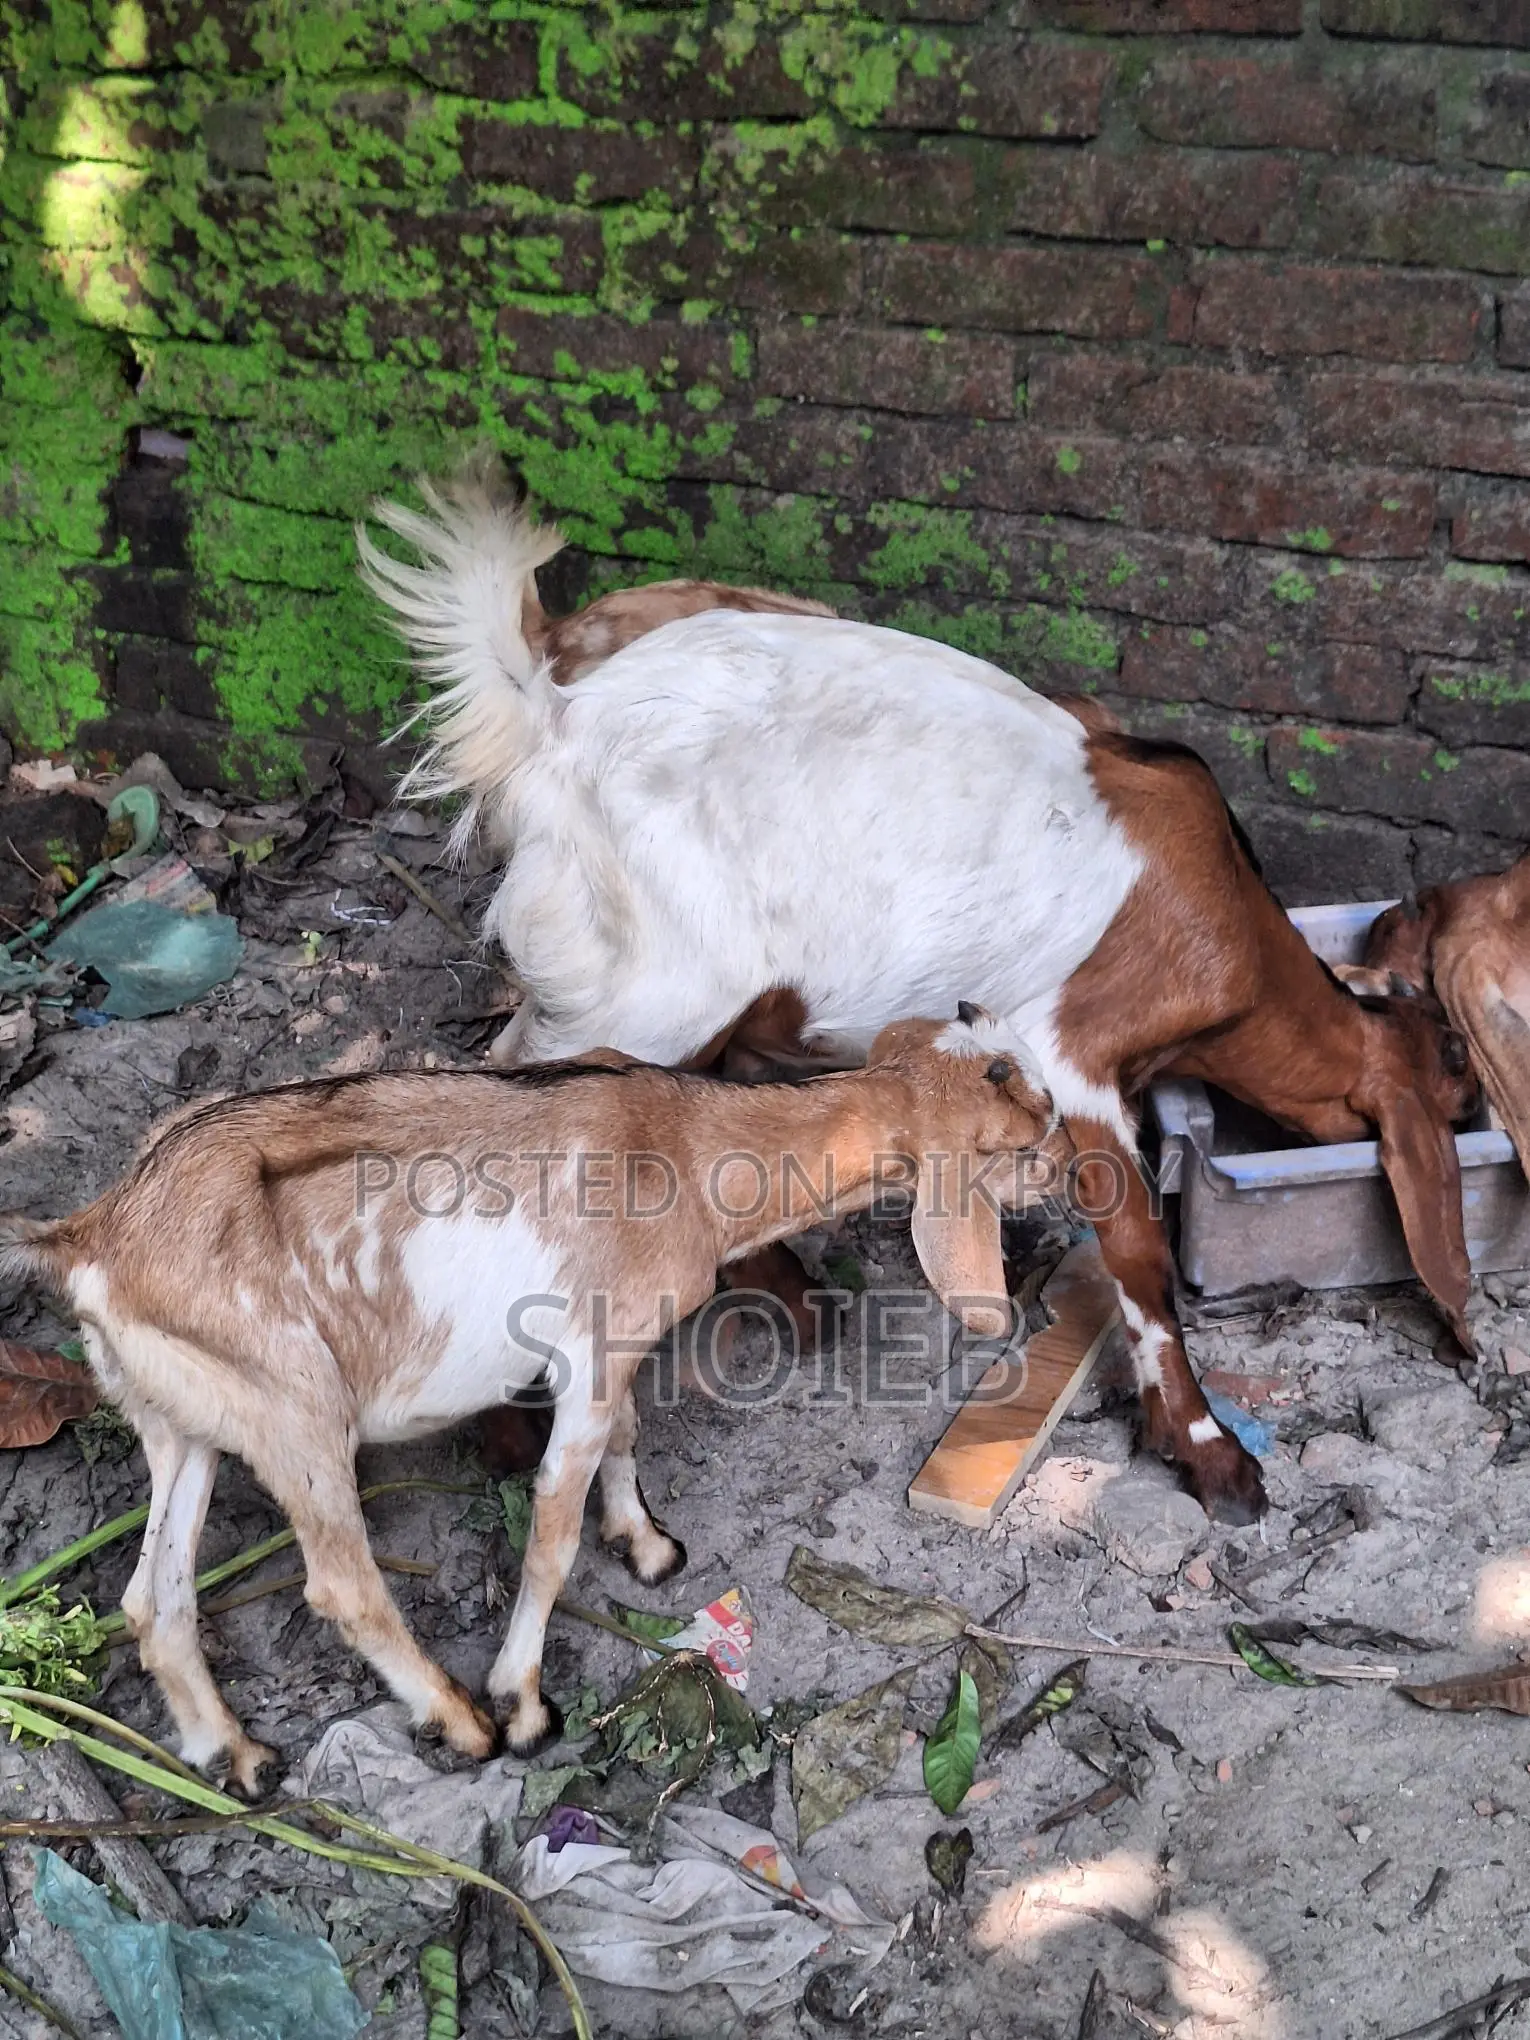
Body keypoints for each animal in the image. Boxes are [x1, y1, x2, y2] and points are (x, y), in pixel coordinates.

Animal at [0, 1008, 1061, 1787]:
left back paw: (237, 1755)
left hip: (184, 1423)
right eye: (1029, 1139)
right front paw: (522, 1703)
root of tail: (90, 1239)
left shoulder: (612, 1348)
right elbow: (551, 1530)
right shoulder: (588, 1355)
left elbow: (630, 1437)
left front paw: (645, 1545)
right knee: (340, 1584)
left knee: (152, 1599)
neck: (687, 1144)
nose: (1066, 1178)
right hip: (293, 1404)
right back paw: (457, 1721)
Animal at [358, 468, 1481, 1526]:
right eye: (1456, 1094)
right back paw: (513, 1426)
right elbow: (1136, 1247)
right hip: (645, 991)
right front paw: (1212, 1456)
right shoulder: (1072, 1047)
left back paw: (792, 1302)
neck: (1229, 913)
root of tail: (550, 719)